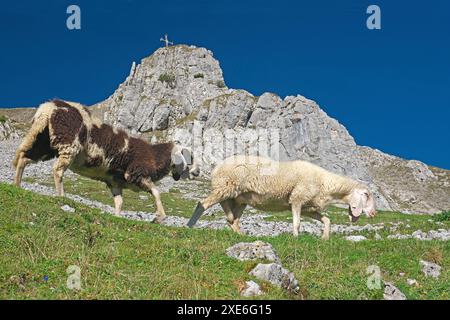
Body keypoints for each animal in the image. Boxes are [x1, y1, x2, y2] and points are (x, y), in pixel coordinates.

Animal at [13, 100, 200, 222]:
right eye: (189, 156)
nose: (198, 172)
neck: (155, 156)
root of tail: (48, 107)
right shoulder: (136, 174)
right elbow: (156, 192)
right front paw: (160, 217)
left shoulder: (115, 181)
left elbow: (119, 202)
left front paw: (118, 217)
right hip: (68, 143)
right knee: (57, 170)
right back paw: (62, 196)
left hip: (44, 142)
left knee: (23, 158)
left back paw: (17, 186)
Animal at [186, 154, 376, 239]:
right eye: (366, 195)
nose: (374, 213)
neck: (326, 184)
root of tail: (217, 167)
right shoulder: (297, 199)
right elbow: (297, 222)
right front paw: (296, 238)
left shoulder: (308, 207)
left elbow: (327, 220)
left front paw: (325, 238)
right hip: (226, 185)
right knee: (202, 204)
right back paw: (189, 226)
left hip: (238, 196)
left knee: (231, 216)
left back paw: (240, 233)